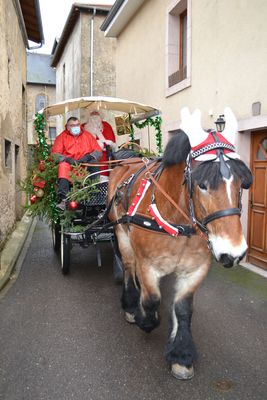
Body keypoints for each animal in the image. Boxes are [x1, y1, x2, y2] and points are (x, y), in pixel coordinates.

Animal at [107, 108, 253, 380]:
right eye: (202, 184)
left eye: (242, 183)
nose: (235, 253)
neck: (179, 223)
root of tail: (128, 160)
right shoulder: (147, 263)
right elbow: (151, 299)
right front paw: (145, 318)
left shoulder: (195, 268)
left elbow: (184, 307)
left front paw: (181, 354)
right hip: (121, 231)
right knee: (129, 265)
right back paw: (131, 304)